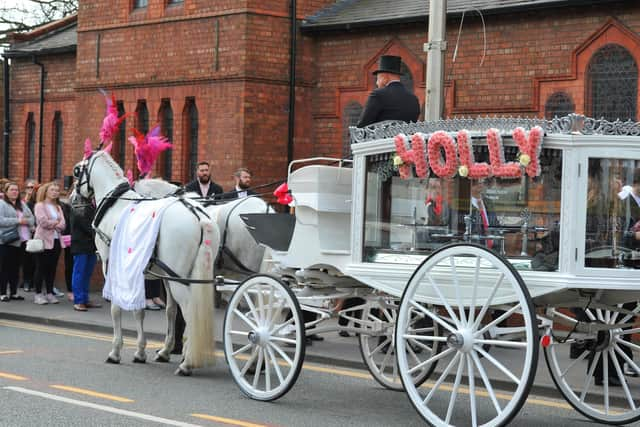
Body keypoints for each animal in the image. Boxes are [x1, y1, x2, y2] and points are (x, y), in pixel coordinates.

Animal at [74, 152, 220, 376]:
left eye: (76, 171)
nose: (72, 199)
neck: (115, 204)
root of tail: (199, 217)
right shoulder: (151, 274)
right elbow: (157, 310)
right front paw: (147, 351)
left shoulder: (112, 268)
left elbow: (117, 308)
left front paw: (116, 351)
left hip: (179, 280)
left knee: (190, 310)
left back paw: (187, 363)